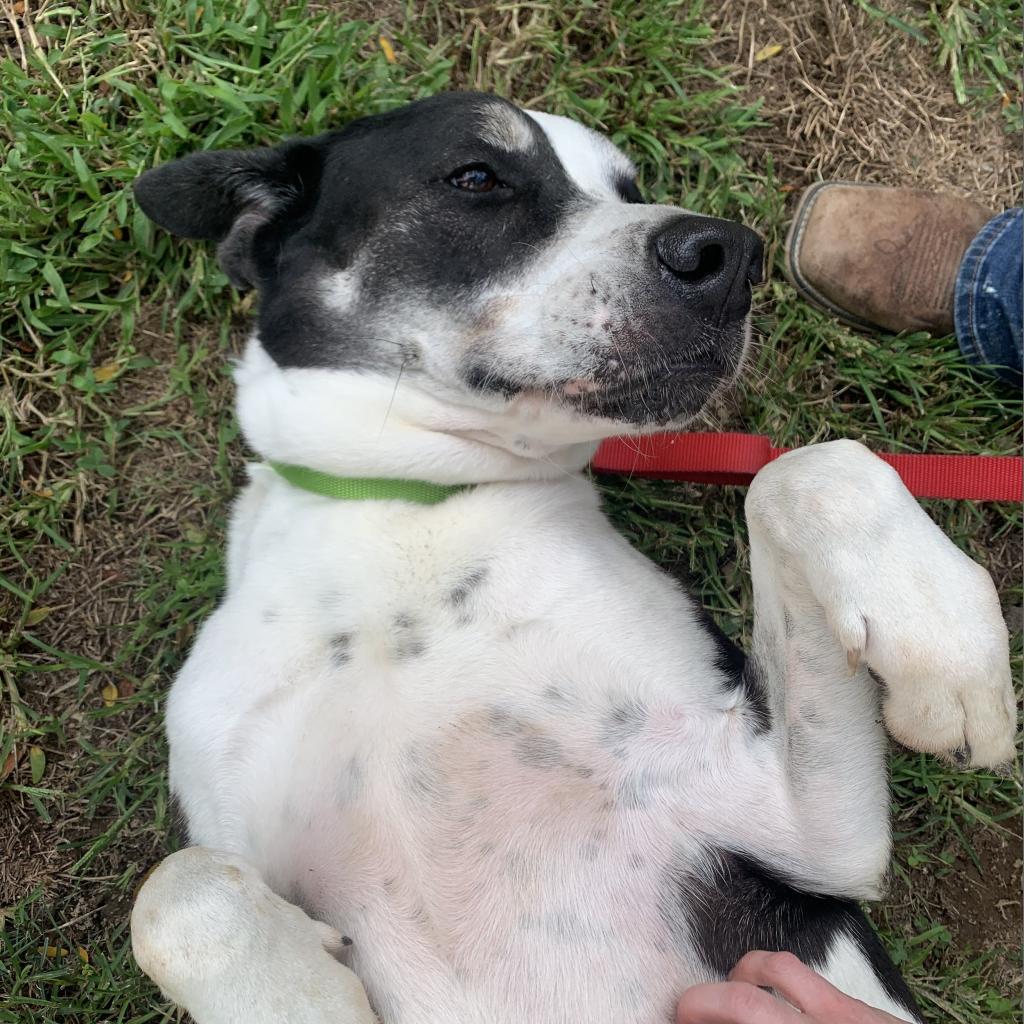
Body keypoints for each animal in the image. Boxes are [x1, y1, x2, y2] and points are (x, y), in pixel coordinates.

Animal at [128, 94, 1015, 1024]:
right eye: (477, 176)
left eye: (627, 188)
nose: (730, 256)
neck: (409, 515)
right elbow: (174, 888)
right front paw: (305, 995)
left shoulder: (800, 829)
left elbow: (807, 465)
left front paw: (945, 642)